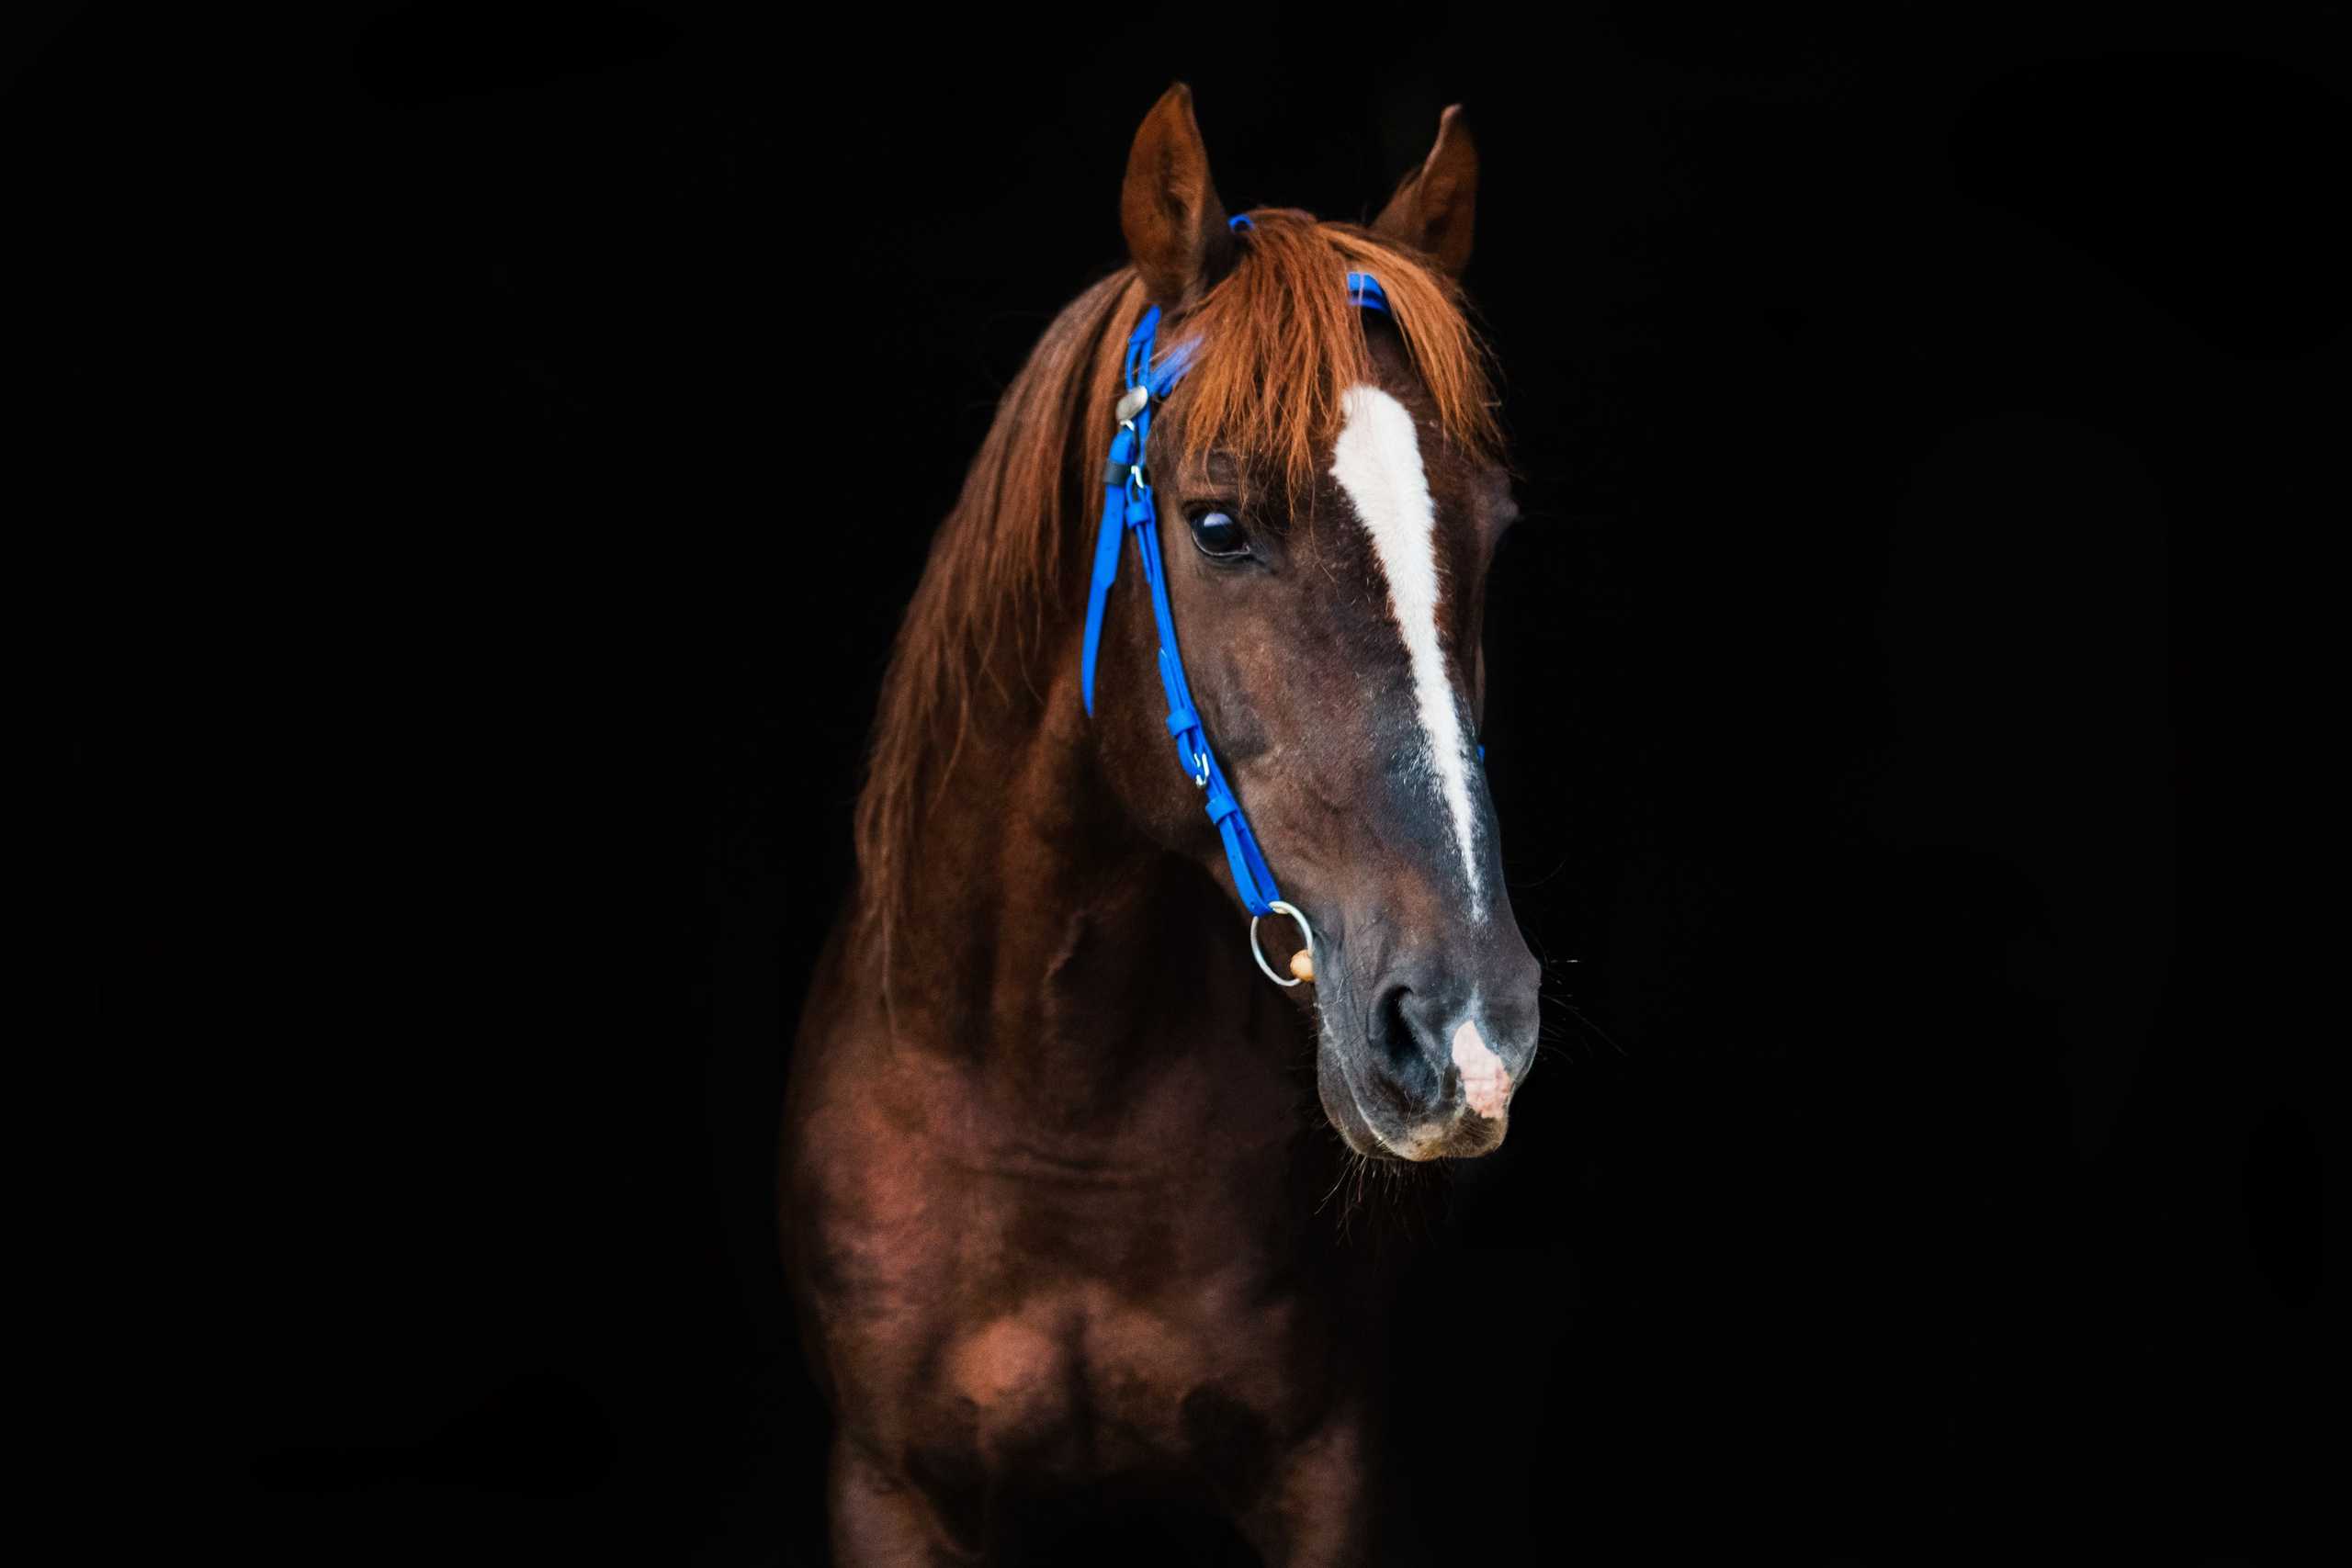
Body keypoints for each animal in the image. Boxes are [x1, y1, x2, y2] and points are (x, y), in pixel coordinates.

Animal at [781, 84, 1541, 1564]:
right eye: (1219, 524)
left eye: (1491, 535)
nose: (1469, 1033)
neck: (1059, 1102)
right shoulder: (888, 1489)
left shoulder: (1331, 1475)